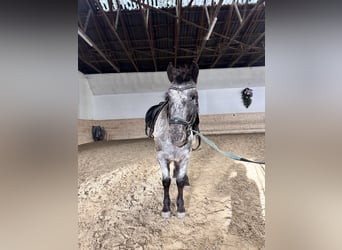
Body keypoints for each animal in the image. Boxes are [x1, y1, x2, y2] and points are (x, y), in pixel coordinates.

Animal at [144, 61, 200, 219]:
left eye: (194, 96)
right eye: (168, 98)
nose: (176, 135)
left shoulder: (185, 157)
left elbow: (179, 182)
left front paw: (180, 208)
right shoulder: (162, 157)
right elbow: (166, 181)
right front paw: (166, 208)